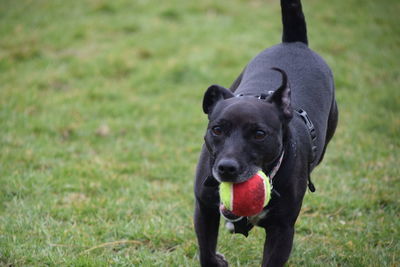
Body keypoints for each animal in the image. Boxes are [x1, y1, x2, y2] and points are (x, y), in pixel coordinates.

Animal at [194, 0, 338, 266]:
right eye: (217, 130)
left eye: (259, 134)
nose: (226, 168)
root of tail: (294, 43)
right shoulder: (204, 209)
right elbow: (206, 252)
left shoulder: (282, 230)